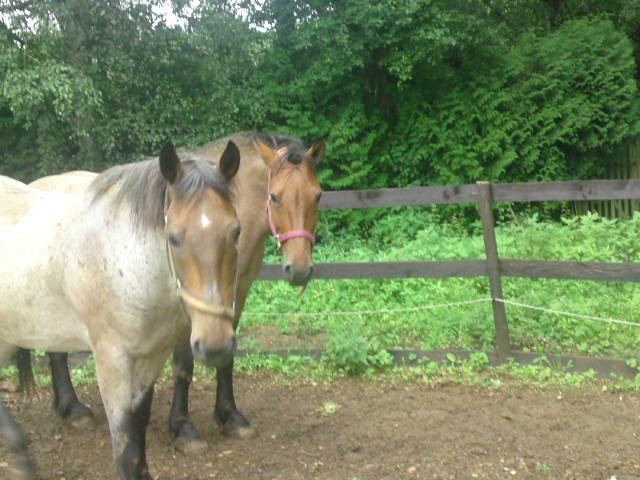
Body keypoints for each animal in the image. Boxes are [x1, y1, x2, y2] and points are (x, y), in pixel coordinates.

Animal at [0, 141, 242, 479]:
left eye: (236, 232)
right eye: (173, 237)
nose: (215, 345)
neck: (120, 260)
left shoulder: (151, 358)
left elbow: (137, 437)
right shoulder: (111, 361)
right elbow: (126, 451)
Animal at [14, 131, 325, 452]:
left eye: (317, 195)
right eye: (274, 196)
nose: (299, 269)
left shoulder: (234, 297)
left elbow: (226, 358)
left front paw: (230, 417)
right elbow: (184, 363)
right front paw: (183, 428)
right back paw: (74, 410)